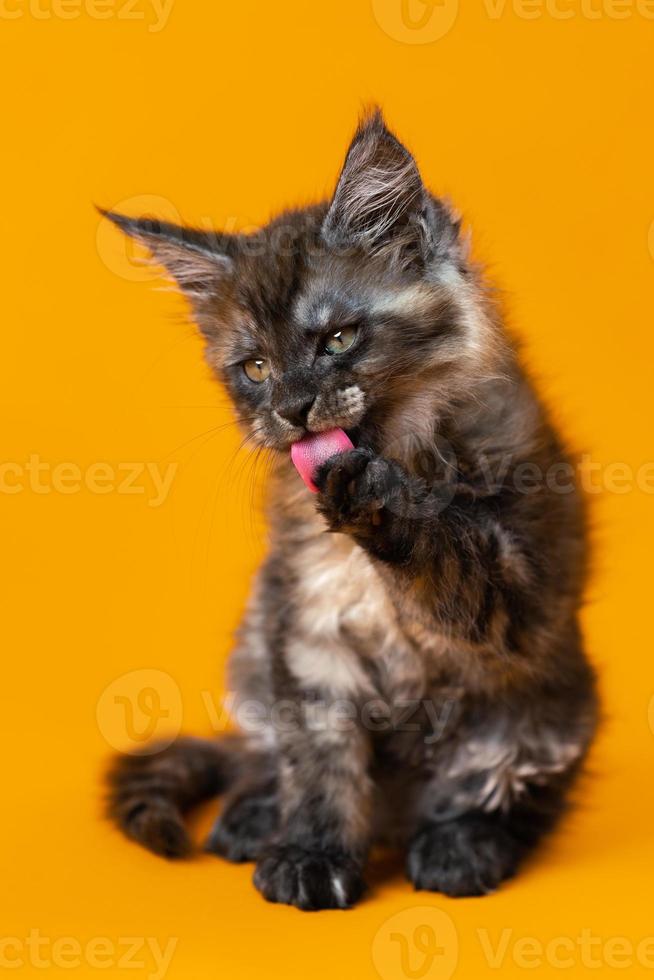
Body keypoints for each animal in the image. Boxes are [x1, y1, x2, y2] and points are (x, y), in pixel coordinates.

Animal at [106, 109, 600, 912]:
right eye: (256, 368)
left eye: (337, 338)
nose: (293, 410)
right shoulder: (306, 628)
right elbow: (319, 759)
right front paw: (310, 853)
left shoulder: (520, 592)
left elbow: (451, 552)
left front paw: (377, 494)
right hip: (253, 655)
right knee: (261, 760)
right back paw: (252, 817)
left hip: (549, 709)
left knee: (503, 791)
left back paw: (462, 843)